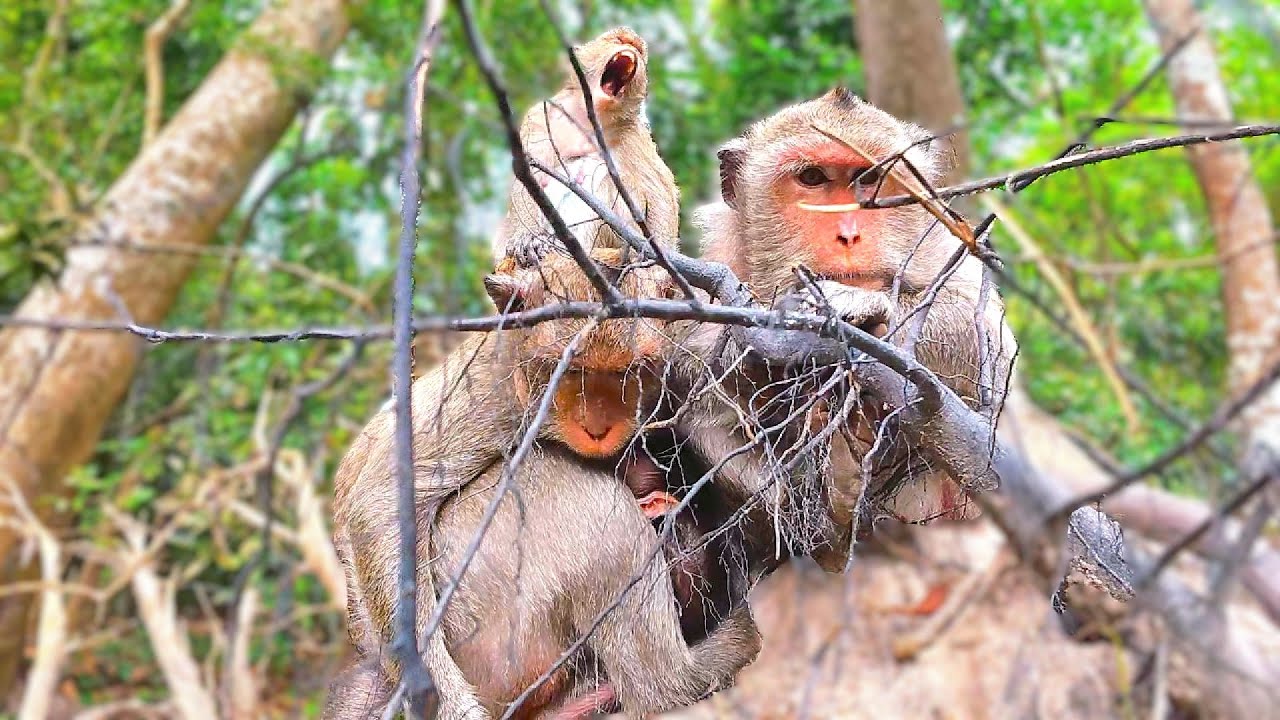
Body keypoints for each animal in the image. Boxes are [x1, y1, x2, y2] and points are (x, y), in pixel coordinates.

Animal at [493, 26, 679, 268]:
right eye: (619, 39)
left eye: (637, 49)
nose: (632, 44)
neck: (590, 119)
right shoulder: (539, 117)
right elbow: (529, 178)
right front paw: (526, 240)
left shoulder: (634, 135)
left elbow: (658, 188)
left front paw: (660, 257)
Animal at [692, 87, 1019, 566]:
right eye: (812, 177)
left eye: (869, 178)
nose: (848, 232)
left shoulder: (944, 241)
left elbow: (989, 347)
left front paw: (852, 305)